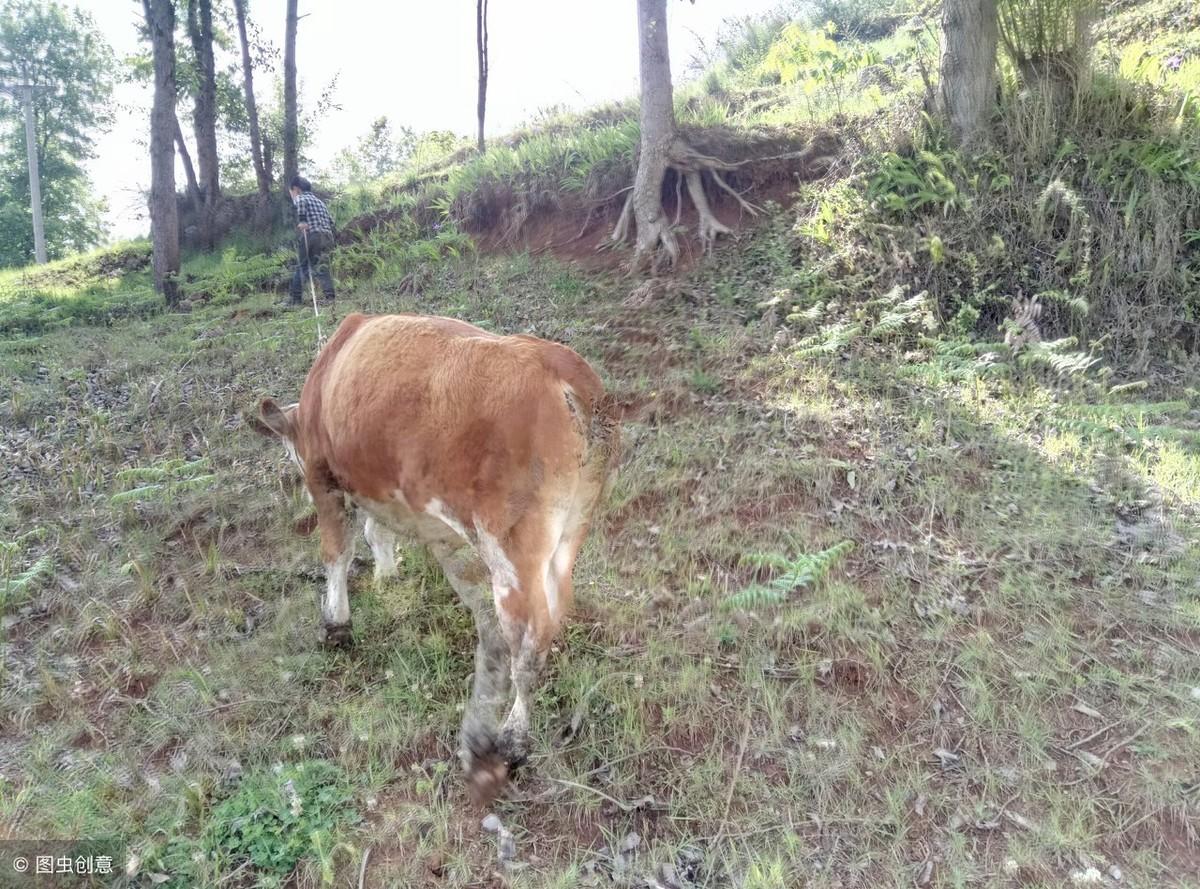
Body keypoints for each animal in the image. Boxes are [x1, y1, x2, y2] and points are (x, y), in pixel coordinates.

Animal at [254, 309, 619, 791]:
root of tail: (563, 369)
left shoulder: (322, 475)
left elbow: (337, 551)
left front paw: (336, 624)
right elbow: (377, 531)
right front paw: (387, 575)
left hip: (510, 544)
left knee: (528, 634)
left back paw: (512, 740)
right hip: (573, 524)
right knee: (557, 605)